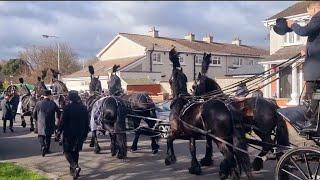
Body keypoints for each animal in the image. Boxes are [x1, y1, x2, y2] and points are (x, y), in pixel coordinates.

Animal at [166, 48, 251, 179]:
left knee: (230, 157)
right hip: (229, 138)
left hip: (220, 139)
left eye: (194, 86)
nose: (194, 97)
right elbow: (192, 148)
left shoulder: (176, 131)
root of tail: (227, 107)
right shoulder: (191, 133)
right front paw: (195, 166)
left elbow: (169, 139)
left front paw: (170, 158)